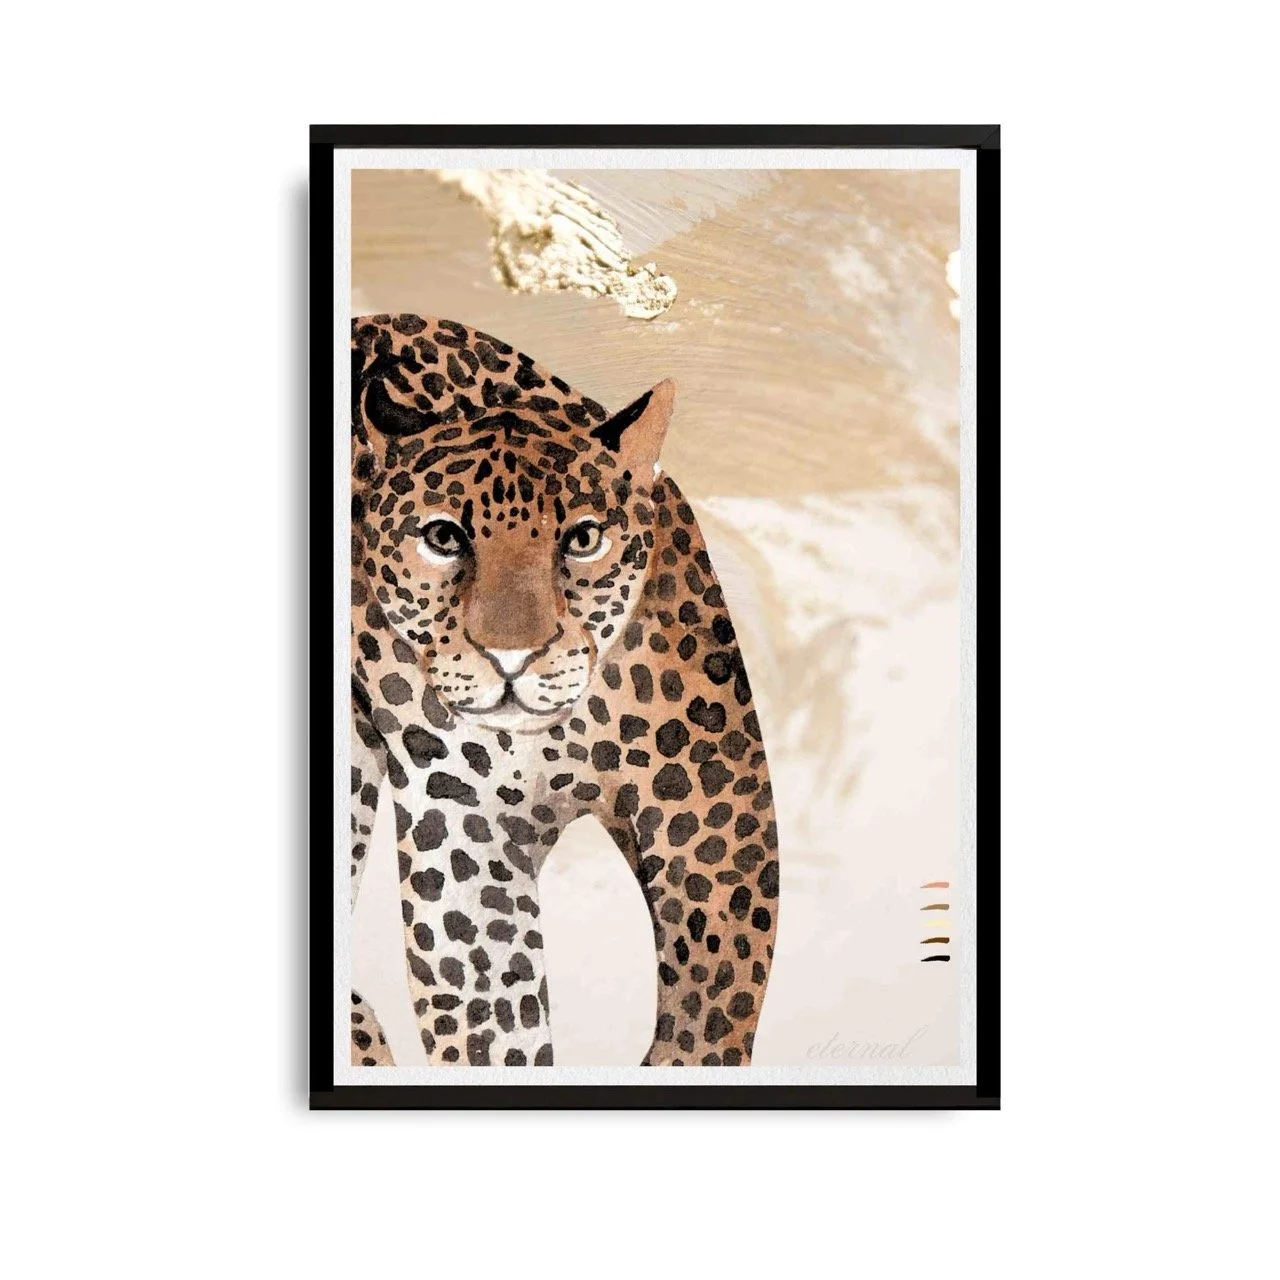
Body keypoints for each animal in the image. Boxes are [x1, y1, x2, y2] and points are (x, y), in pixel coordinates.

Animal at [349, 314, 779, 1067]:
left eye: (582, 539)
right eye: (443, 537)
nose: (511, 656)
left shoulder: (713, 803)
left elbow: (714, 994)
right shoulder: (468, 838)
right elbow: (493, 1017)